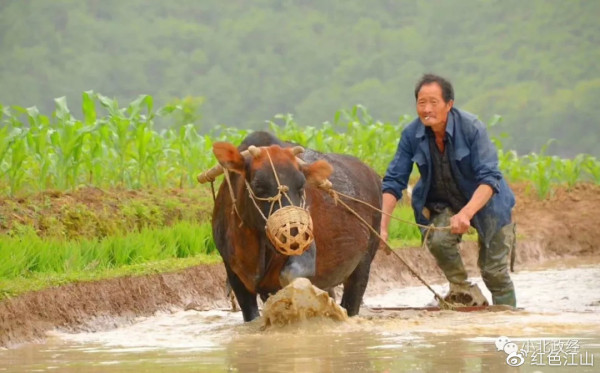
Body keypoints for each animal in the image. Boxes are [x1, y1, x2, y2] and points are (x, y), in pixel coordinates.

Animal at [209, 132, 382, 320]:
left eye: (301, 186)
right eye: (258, 186)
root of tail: (374, 176)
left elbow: (289, 277)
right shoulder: (235, 277)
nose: (294, 233)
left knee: (352, 302)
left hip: (364, 263)